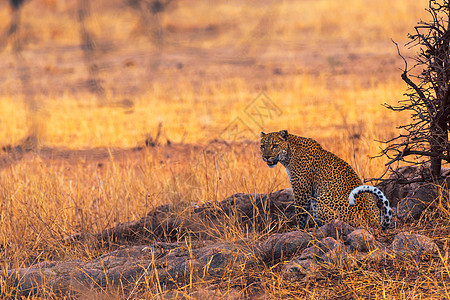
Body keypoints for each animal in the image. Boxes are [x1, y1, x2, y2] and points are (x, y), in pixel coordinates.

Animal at [260, 129, 394, 230]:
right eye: (262, 146)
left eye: (275, 145)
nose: (266, 157)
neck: (289, 153)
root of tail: (371, 221)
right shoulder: (313, 192)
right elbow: (312, 210)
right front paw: (315, 227)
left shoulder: (301, 190)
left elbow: (301, 213)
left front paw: (300, 230)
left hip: (323, 200)